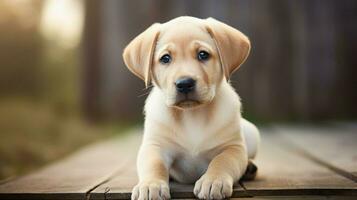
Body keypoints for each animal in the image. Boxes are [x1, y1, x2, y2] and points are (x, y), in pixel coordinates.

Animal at [122, 16, 258, 199]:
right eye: (165, 58)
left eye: (203, 55)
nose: (184, 83)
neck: (192, 115)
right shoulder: (155, 145)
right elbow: (154, 165)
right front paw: (151, 185)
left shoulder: (233, 147)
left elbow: (222, 161)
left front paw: (214, 181)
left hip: (252, 133)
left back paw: (249, 167)